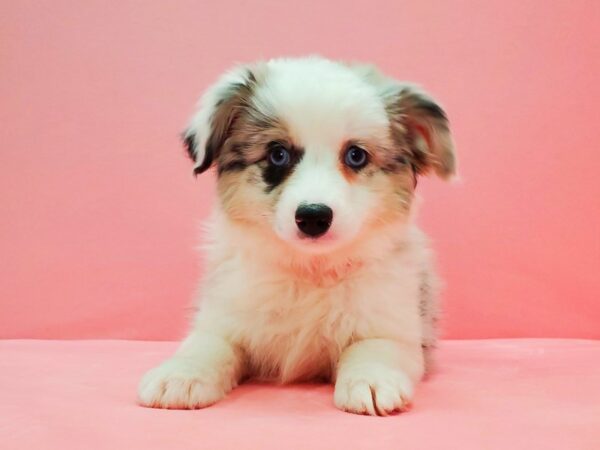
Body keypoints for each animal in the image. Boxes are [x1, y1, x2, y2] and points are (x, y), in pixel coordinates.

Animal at [138, 57, 458, 418]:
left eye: (356, 156)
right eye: (278, 154)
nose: (314, 216)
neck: (309, 270)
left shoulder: (394, 327)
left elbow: (372, 349)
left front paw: (372, 381)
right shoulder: (223, 313)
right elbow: (208, 345)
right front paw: (179, 374)